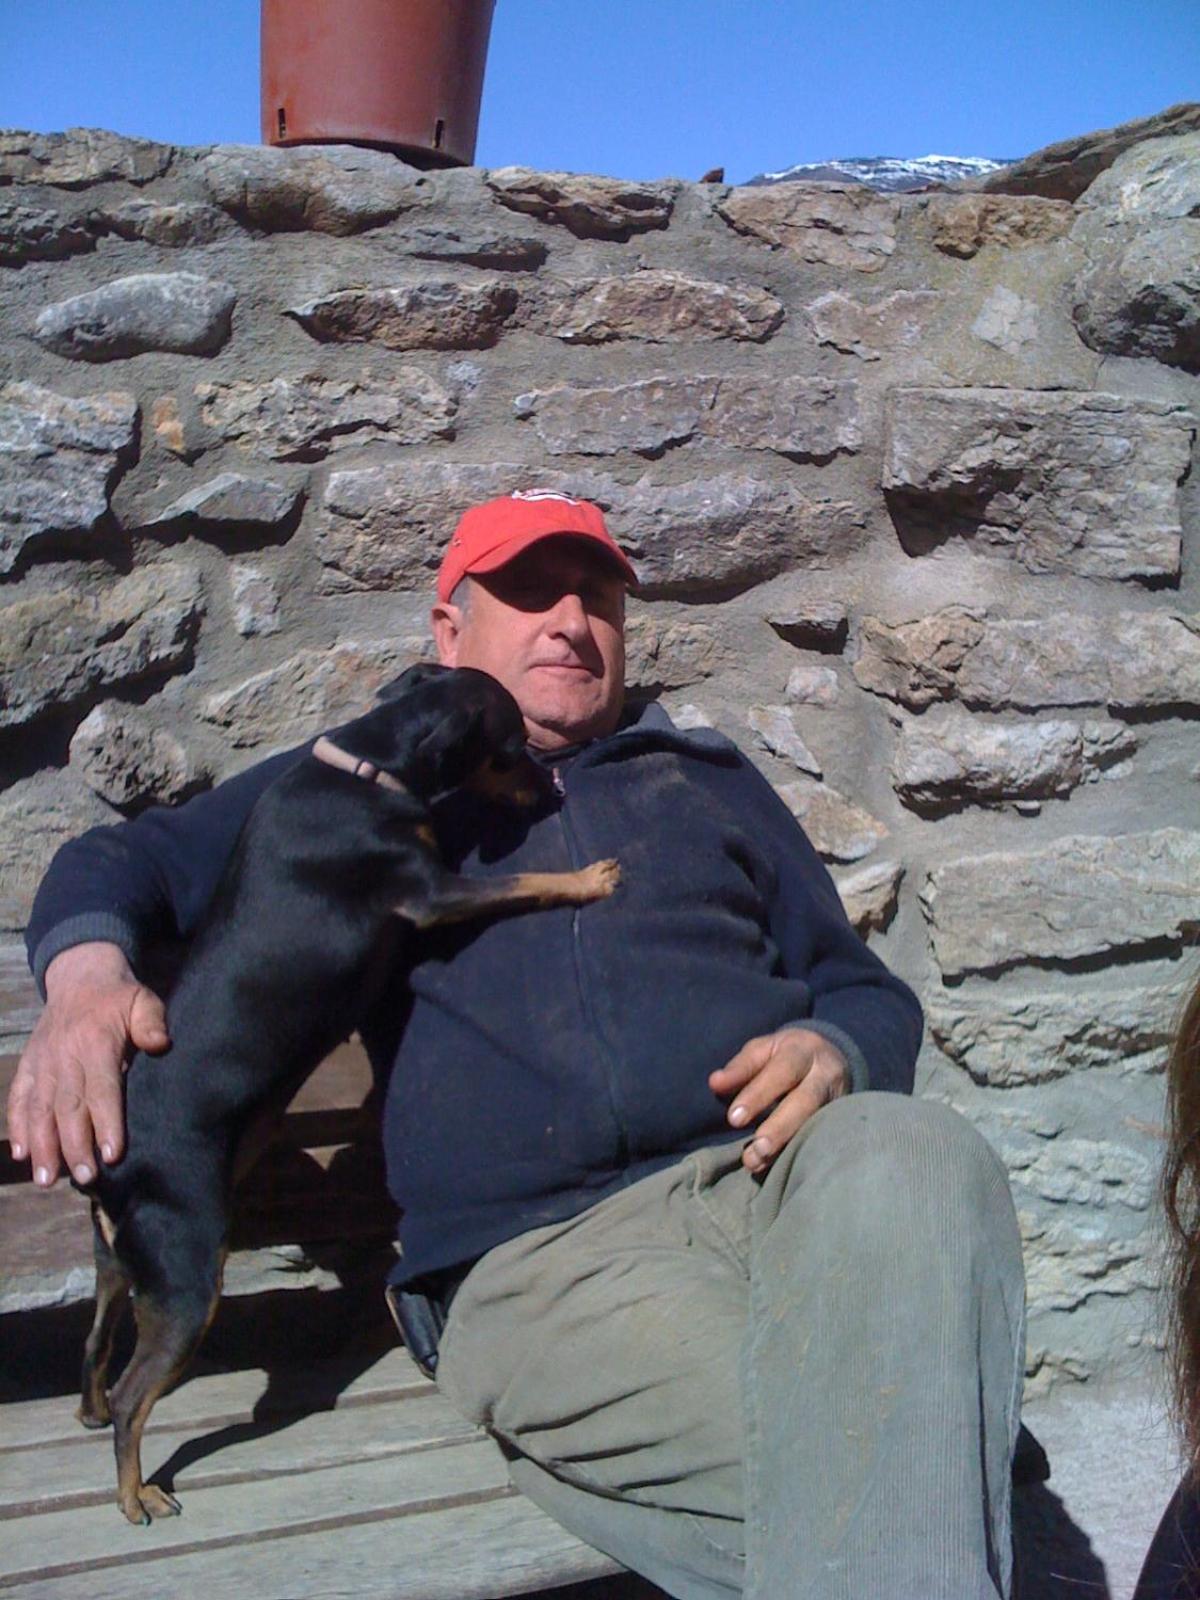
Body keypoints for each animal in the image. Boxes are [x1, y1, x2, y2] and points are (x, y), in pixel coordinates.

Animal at [75, 663, 620, 1524]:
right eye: (510, 749)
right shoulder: (432, 894)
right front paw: (590, 877)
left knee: (97, 1344)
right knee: (136, 1394)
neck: (370, 767)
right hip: (190, 1273)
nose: (554, 786)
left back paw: (90, 1412)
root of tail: (111, 1169)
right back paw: (136, 1496)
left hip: (121, 1265)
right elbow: (524, 880)